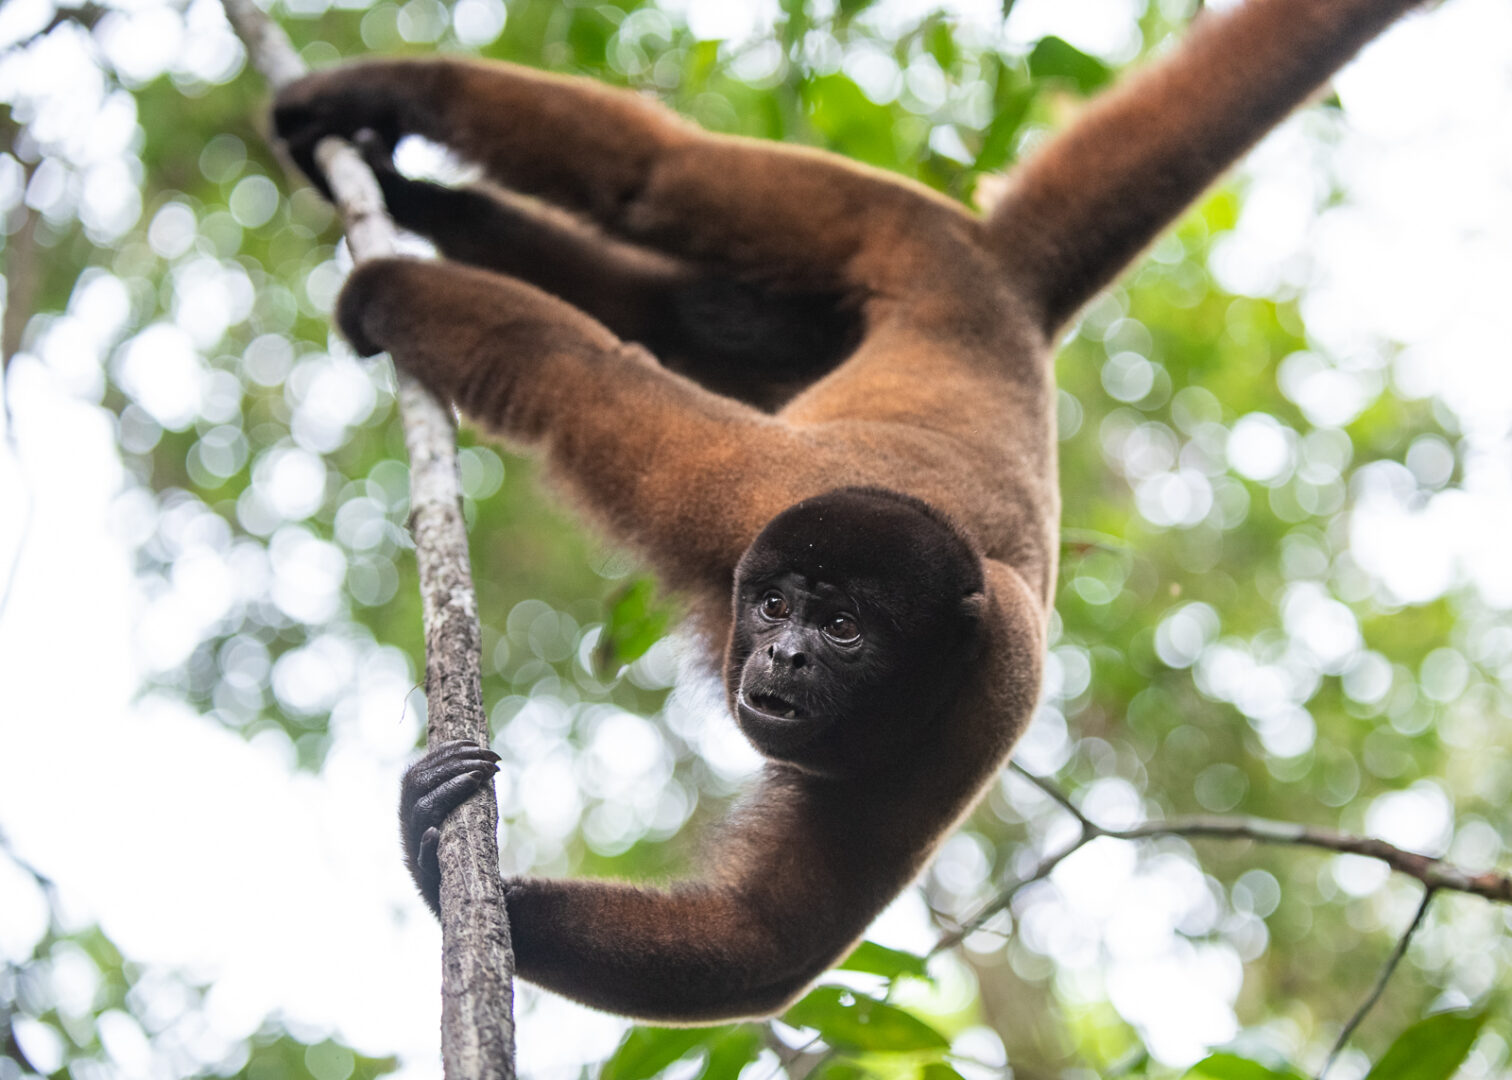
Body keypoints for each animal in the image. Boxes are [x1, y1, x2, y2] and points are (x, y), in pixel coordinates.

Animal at [273, 0, 1429, 1023]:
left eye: (842, 629)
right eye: (780, 608)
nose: (783, 656)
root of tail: (1002, 297)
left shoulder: (980, 706)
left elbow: (764, 941)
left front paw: (438, 861)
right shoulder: (738, 493)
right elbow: (568, 367)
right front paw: (384, 297)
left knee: (682, 300)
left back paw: (411, 192)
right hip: (903, 232)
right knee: (658, 173)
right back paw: (378, 104)